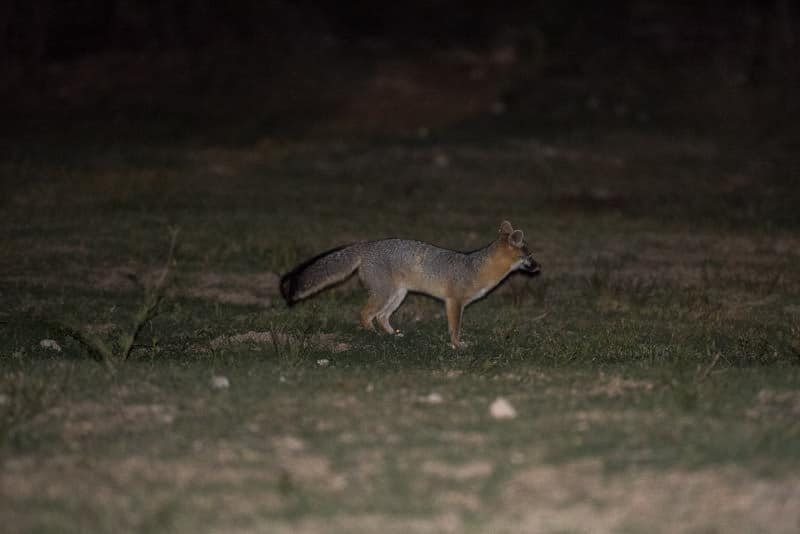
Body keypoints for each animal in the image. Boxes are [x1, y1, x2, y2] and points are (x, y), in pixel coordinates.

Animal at [278, 221, 540, 350]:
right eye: (529, 256)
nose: (539, 267)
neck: (477, 267)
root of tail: (367, 245)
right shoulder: (454, 302)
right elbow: (454, 328)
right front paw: (457, 345)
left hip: (397, 295)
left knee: (381, 316)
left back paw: (392, 334)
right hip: (385, 294)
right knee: (364, 313)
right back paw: (372, 334)